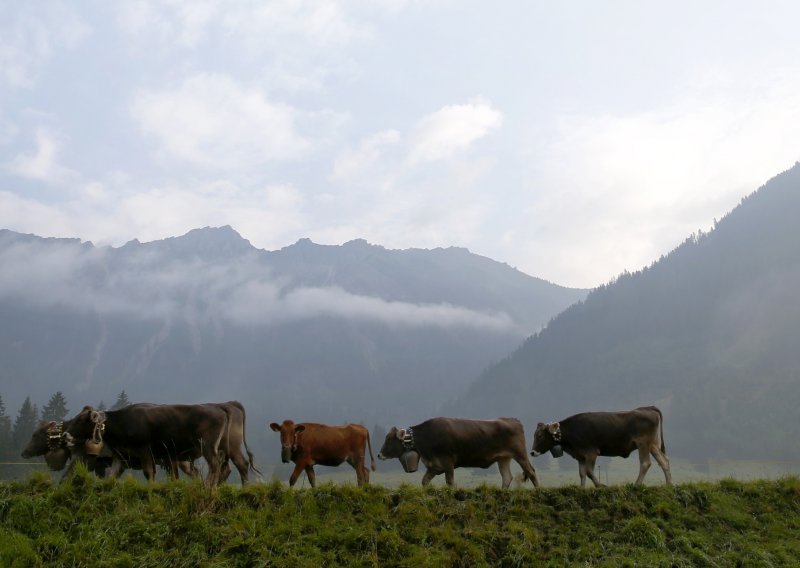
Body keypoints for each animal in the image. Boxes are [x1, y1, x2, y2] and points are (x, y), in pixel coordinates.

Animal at [376, 414, 536, 490]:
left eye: (389, 439)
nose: (379, 454)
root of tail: (513, 420)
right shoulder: (434, 466)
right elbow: (424, 481)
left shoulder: (448, 462)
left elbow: (450, 482)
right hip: (503, 457)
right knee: (507, 477)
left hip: (520, 453)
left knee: (531, 471)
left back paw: (537, 489)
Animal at [536, 404, 672, 488]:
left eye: (540, 436)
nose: (532, 452)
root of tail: (648, 408)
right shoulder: (580, 456)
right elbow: (582, 473)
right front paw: (582, 488)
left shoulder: (591, 453)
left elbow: (589, 472)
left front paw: (600, 486)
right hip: (652, 444)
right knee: (664, 461)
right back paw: (669, 484)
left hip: (643, 444)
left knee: (645, 463)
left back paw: (636, 484)